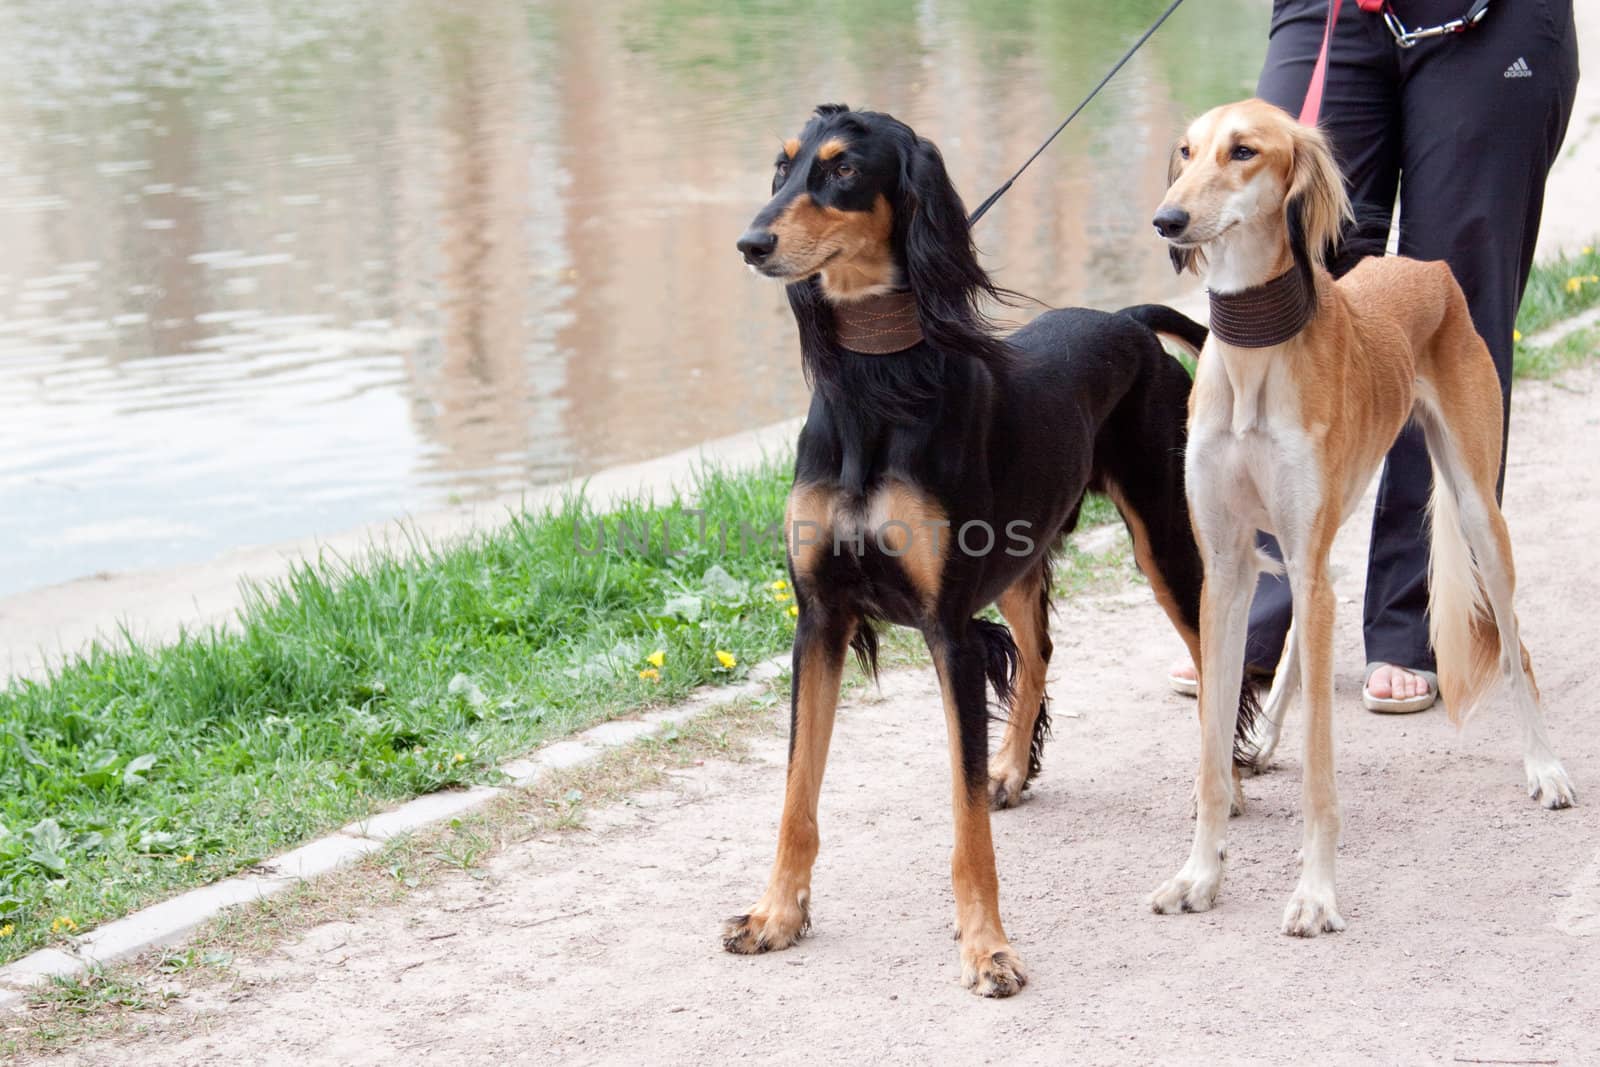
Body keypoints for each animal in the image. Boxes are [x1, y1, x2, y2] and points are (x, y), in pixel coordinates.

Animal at [720, 103, 1254, 998]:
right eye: (782, 165)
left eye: (842, 169)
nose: (751, 243)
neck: (878, 386)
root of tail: (1125, 319)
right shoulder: (820, 619)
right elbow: (796, 791)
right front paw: (776, 915)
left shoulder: (948, 631)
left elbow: (963, 817)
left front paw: (987, 947)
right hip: (1018, 553)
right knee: (1038, 652)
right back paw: (1011, 767)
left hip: (1166, 541)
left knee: (1212, 656)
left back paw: (1226, 788)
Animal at [1145, 99, 1568, 934]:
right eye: (1185, 150)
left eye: (1244, 151)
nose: (1167, 220)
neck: (1253, 354)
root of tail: (1425, 265)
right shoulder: (1227, 567)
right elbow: (1209, 749)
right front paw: (1199, 873)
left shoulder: (1295, 553)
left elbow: (1321, 767)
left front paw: (1315, 891)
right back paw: (1263, 738)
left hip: (1477, 506)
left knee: (1516, 646)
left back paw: (1544, 765)